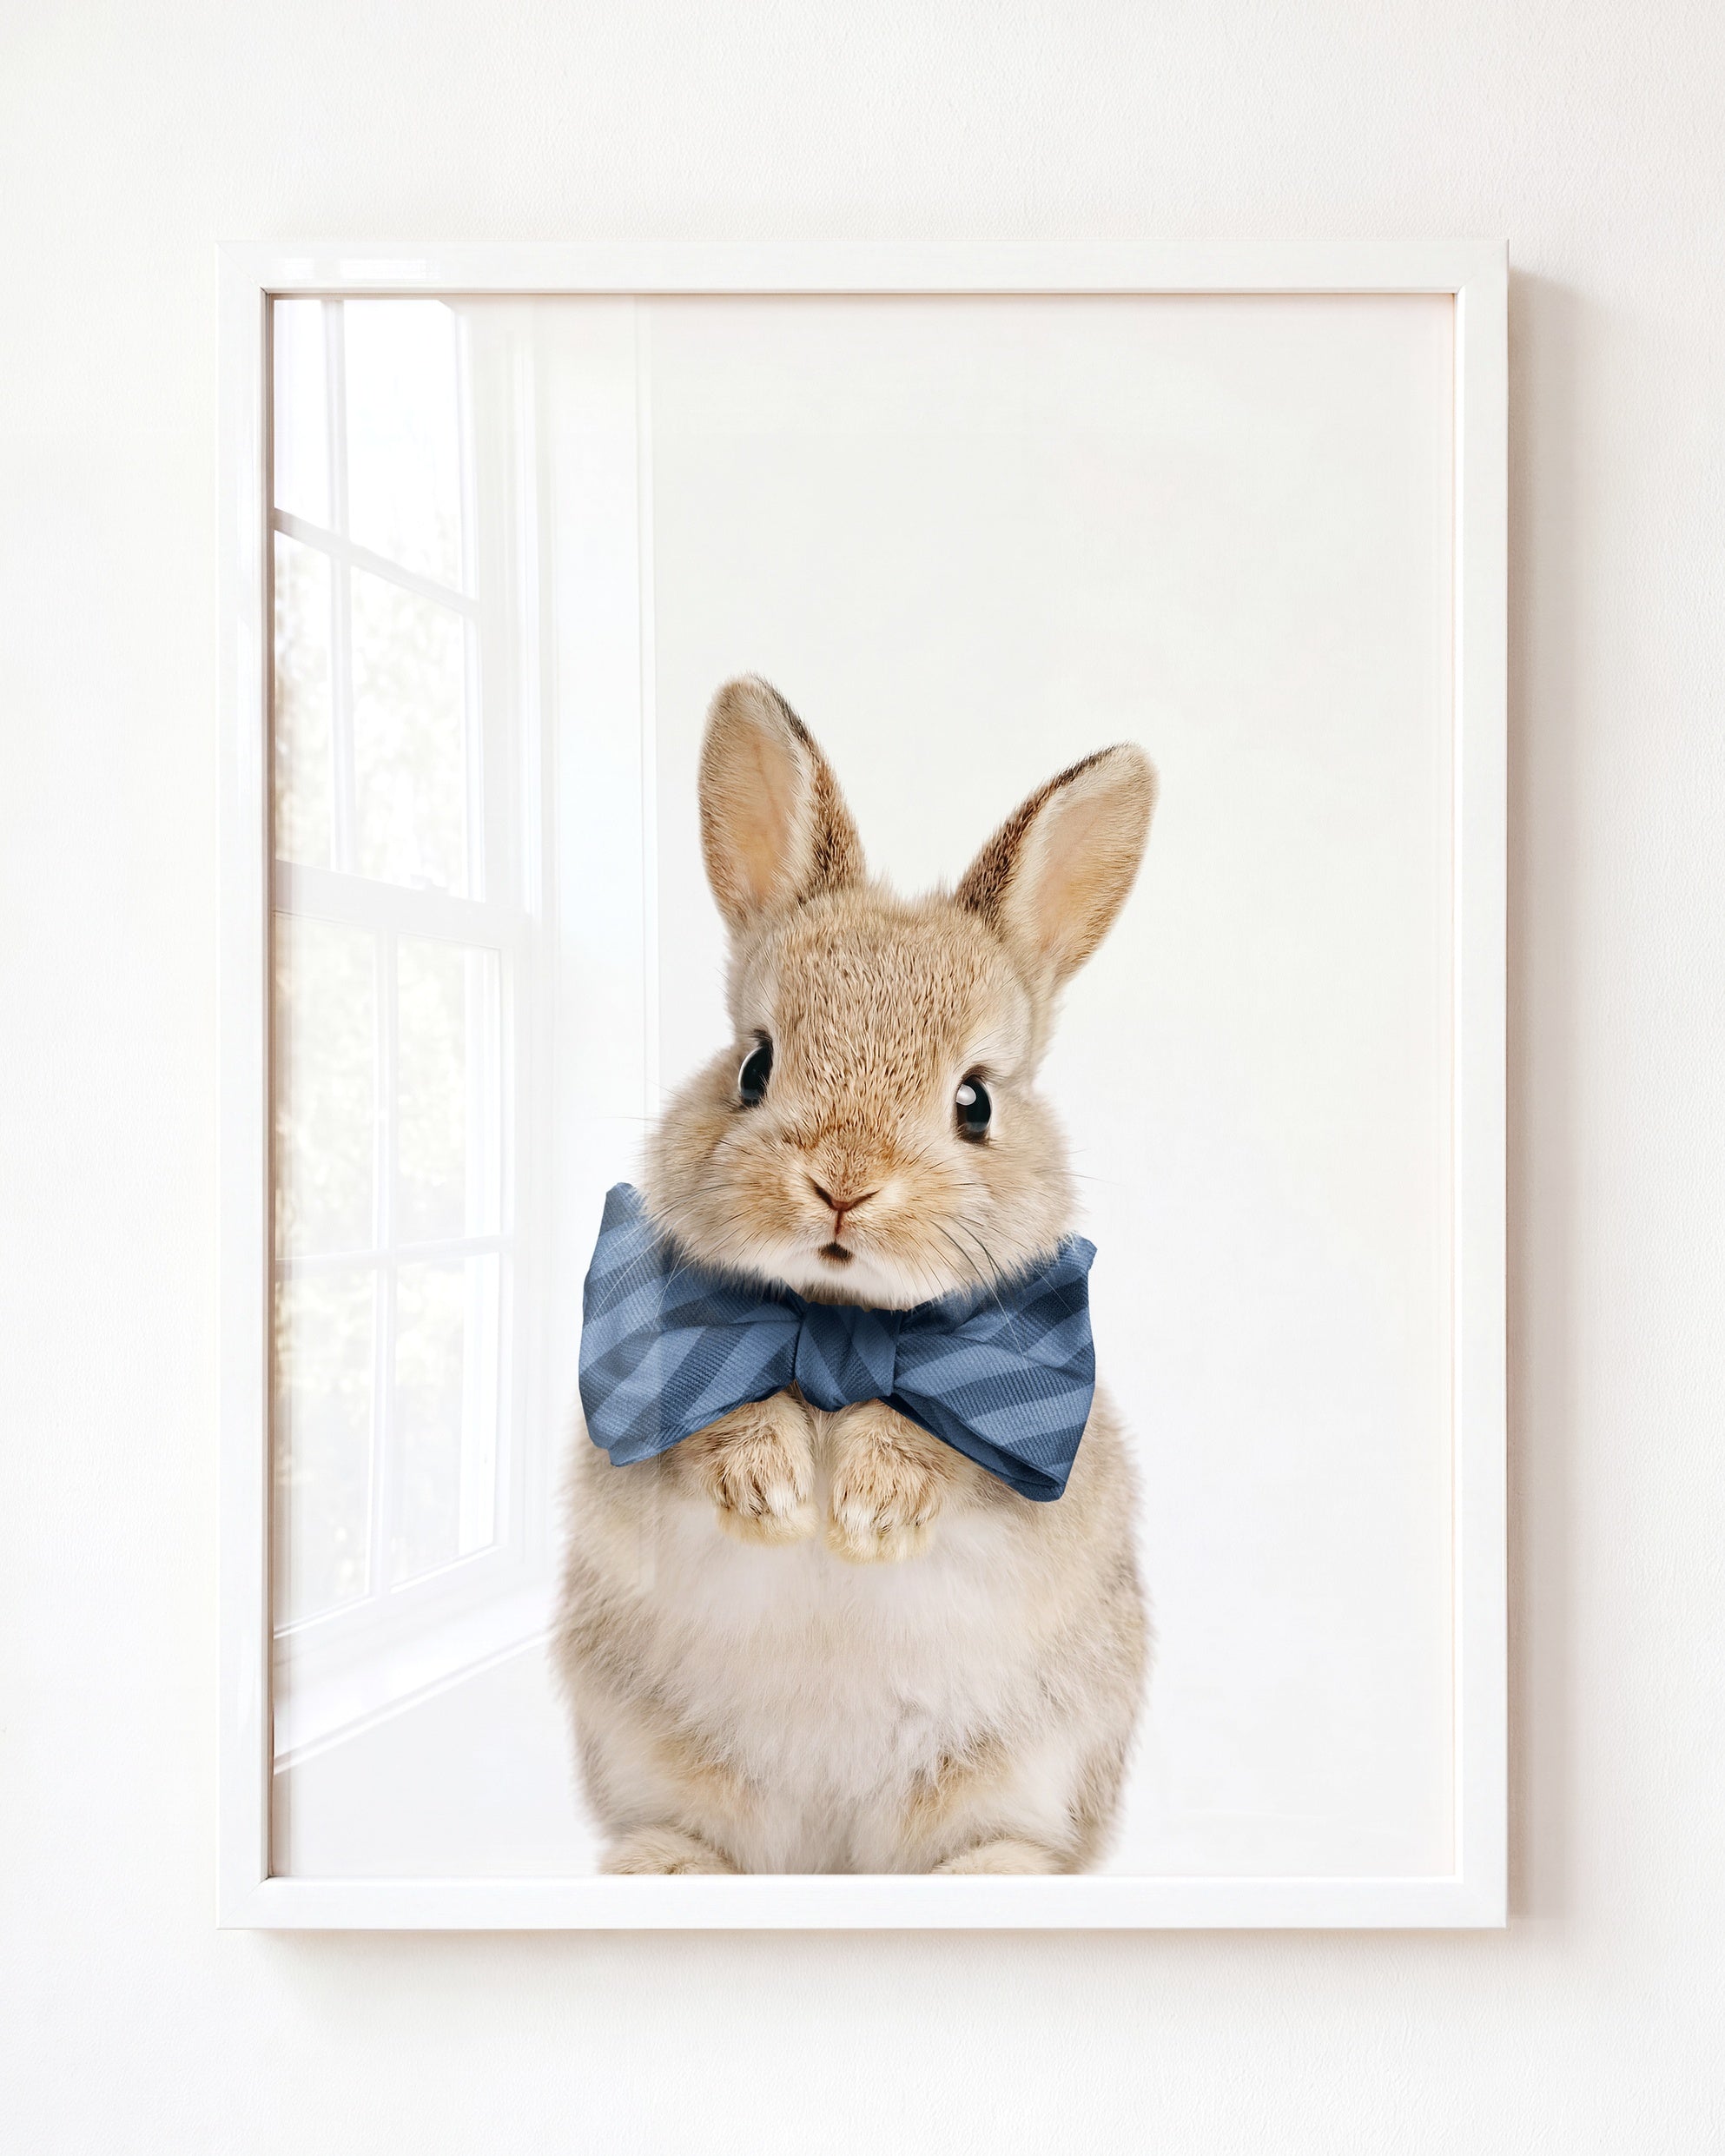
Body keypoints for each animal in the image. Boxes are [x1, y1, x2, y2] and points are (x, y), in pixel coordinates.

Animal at [554, 676, 1155, 1875]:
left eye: (975, 1101)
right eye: (754, 1064)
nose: (843, 1184)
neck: (838, 1322)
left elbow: (949, 1449)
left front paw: (869, 1507)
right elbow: (710, 1428)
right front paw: (778, 1494)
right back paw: (665, 1867)